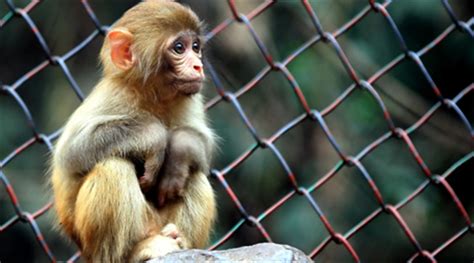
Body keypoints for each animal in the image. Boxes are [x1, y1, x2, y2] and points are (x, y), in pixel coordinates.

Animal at [50, 1, 217, 262]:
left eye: (196, 47)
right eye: (179, 48)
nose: (198, 65)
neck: (153, 96)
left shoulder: (191, 98)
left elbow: (203, 145)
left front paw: (178, 150)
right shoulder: (114, 95)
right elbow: (70, 154)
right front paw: (154, 137)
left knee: (194, 174)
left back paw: (180, 241)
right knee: (113, 167)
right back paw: (135, 251)